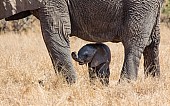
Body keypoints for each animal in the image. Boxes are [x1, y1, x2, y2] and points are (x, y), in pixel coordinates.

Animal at [0, 0, 165, 84]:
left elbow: (56, 33)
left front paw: (70, 86)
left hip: (139, 5)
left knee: (133, 41)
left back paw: (124, 86)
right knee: (153, 42)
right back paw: (153, 84)